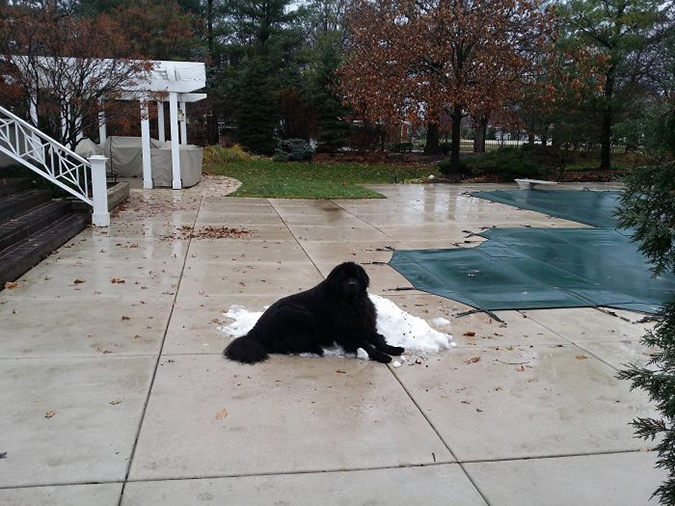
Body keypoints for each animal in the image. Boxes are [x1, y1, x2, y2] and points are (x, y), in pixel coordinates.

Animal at [224, 260, 404, 364]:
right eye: (344, 278)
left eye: (356, 277)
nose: (352, 284)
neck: (350, 304)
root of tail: (256, 329)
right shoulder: (348, 334)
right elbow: (367, 345)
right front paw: (382, 356)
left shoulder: (365, 324)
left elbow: (378, 339)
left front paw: (393, 349)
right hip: (300, 314)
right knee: (286, 345)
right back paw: (316, 349)